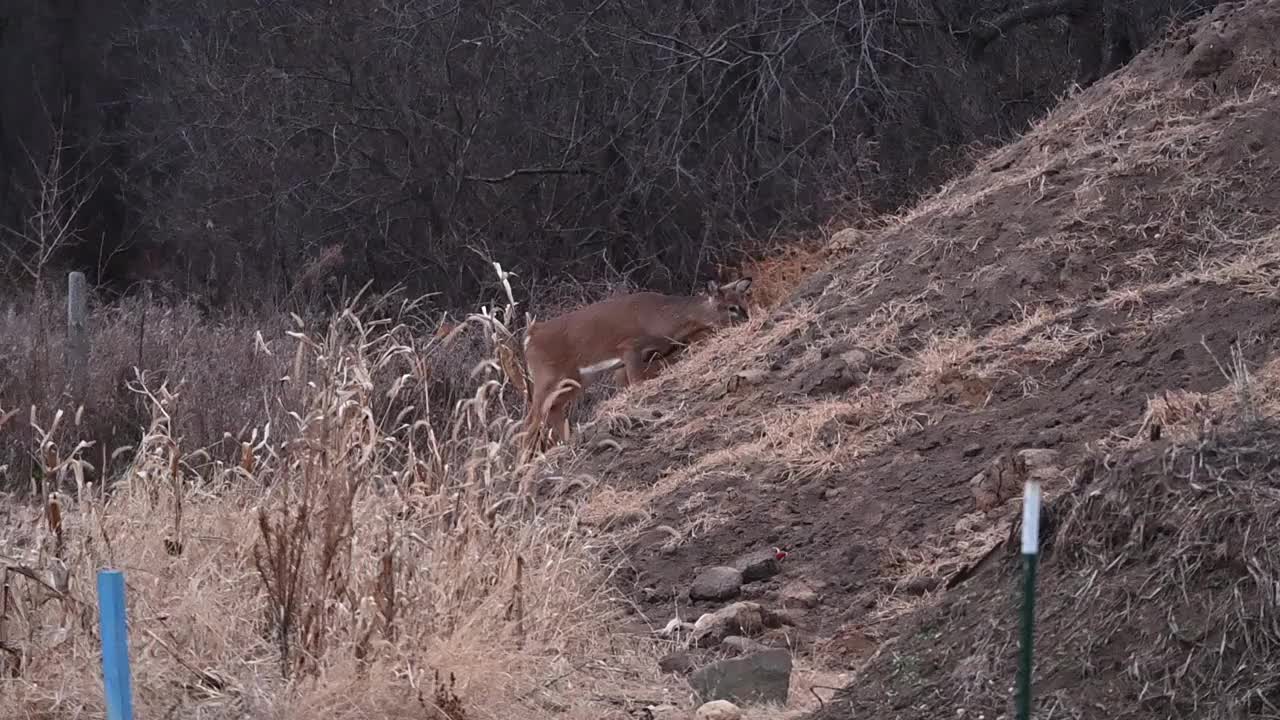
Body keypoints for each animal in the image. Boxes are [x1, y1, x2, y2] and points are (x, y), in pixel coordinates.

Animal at [517, 279, 752, 453]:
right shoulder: (630, 348)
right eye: (731, 308)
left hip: (574, 380)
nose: (748, 320)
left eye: (744, 303)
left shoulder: (629, 363)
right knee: (530, 420)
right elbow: (638, 384)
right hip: (548, 376)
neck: (663, 319)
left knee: (552, 412)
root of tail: (530, 336)